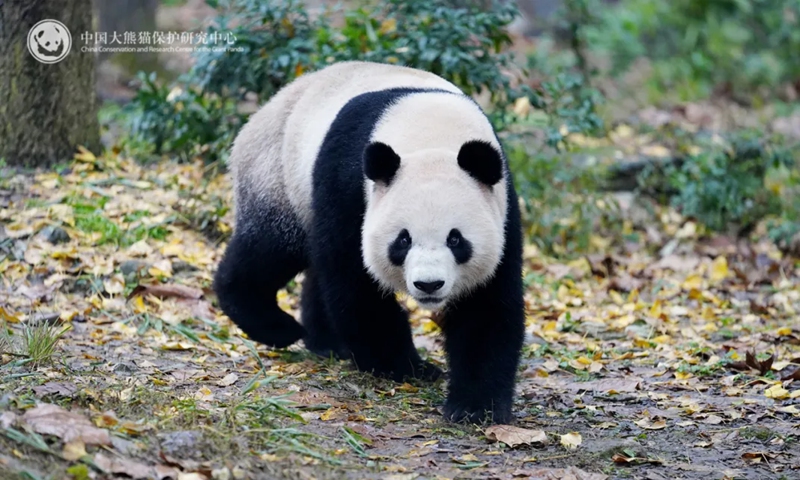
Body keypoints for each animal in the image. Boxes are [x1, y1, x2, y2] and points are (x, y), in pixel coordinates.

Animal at [214, 60, 524, 424]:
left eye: (456, 239)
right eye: (403, 240)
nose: (429, 285)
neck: (432, 135)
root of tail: (264, 110)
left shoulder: (502, 205)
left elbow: (486, 305)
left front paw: (475, 407)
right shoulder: (350, 181)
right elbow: (354, 279)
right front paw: (406, 367)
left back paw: (327, 341)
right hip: (277, 175)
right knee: (271, 249)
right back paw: (275, 324)